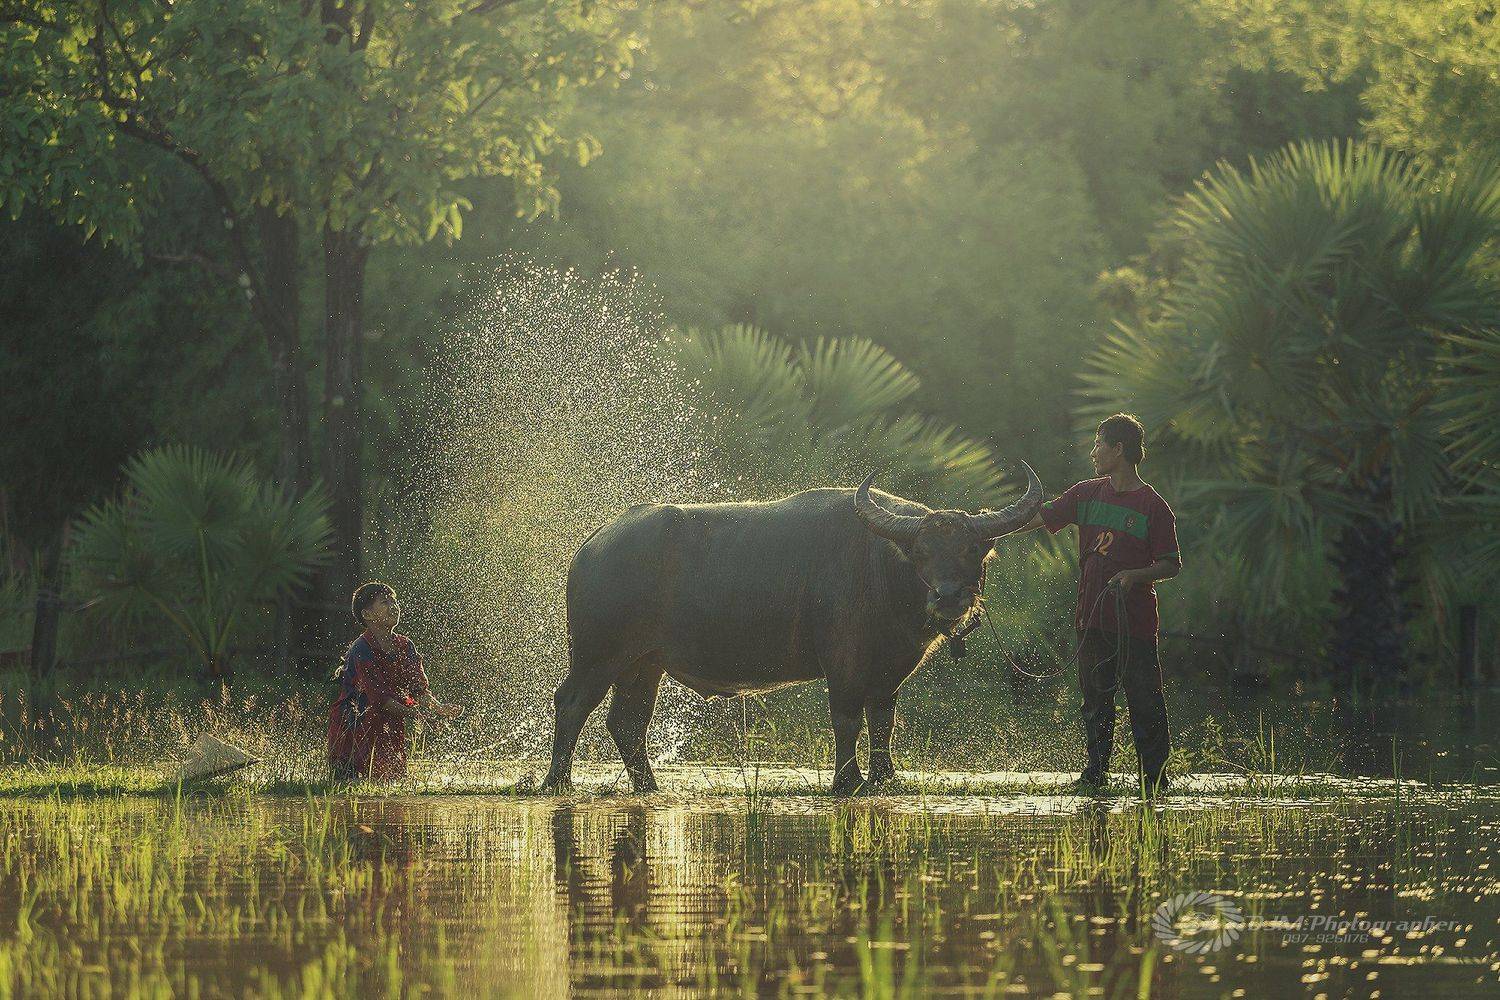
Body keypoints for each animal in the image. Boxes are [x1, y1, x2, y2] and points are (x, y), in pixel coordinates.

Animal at [542, 463, 1044, 794]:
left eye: (973, 549)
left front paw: (886, 778)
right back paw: (557, 782)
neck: (880, 569)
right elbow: (847, 720)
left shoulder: (889, 674)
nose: (948, 596)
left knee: (628, 722)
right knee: (572, 705)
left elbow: (883, 723)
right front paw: (848, 781)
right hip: (596, 655)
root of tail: (593, 545)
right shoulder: (843, 664)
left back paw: (650, 786)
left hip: (644, 664)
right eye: (920, 551)